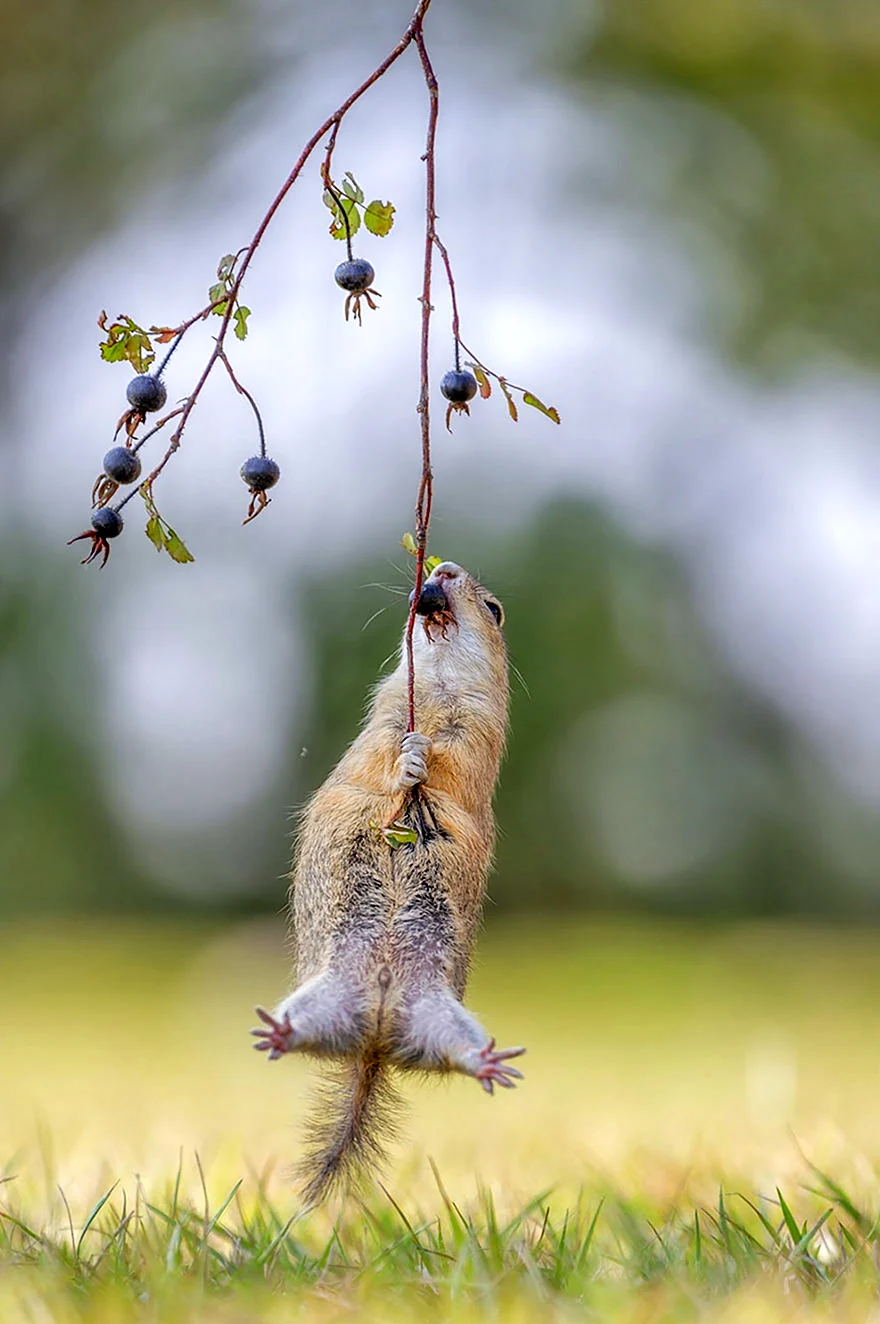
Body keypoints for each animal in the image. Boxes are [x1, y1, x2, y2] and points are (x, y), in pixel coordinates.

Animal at [250, 558, 521, 1202]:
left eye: (495, 609)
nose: (442, 567)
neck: (438, 687)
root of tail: (373, 1040)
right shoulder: (382, 720)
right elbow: (380, 760)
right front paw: (408, 761)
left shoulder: (478, 734)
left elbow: (454, 765)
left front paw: (422, 758)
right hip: (331, 998)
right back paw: (279, 1033)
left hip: (438, 1015)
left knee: (452, 1054)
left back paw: (488, 1062)